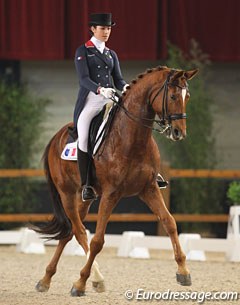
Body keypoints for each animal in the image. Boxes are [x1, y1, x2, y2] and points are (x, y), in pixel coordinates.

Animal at [34, 66, 198, 294]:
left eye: (187, 96)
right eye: (173, 96)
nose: (178, 132)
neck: (133, 138)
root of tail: (56, 137)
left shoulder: (149, 189)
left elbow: (170, 223)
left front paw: (183, 271)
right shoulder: (111, 194)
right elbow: (97, 240)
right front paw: (80, 282)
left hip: (87, 197)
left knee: (70, 232)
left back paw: (49, 279)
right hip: (67, 193)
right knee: (79, 231)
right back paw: (91, 278)